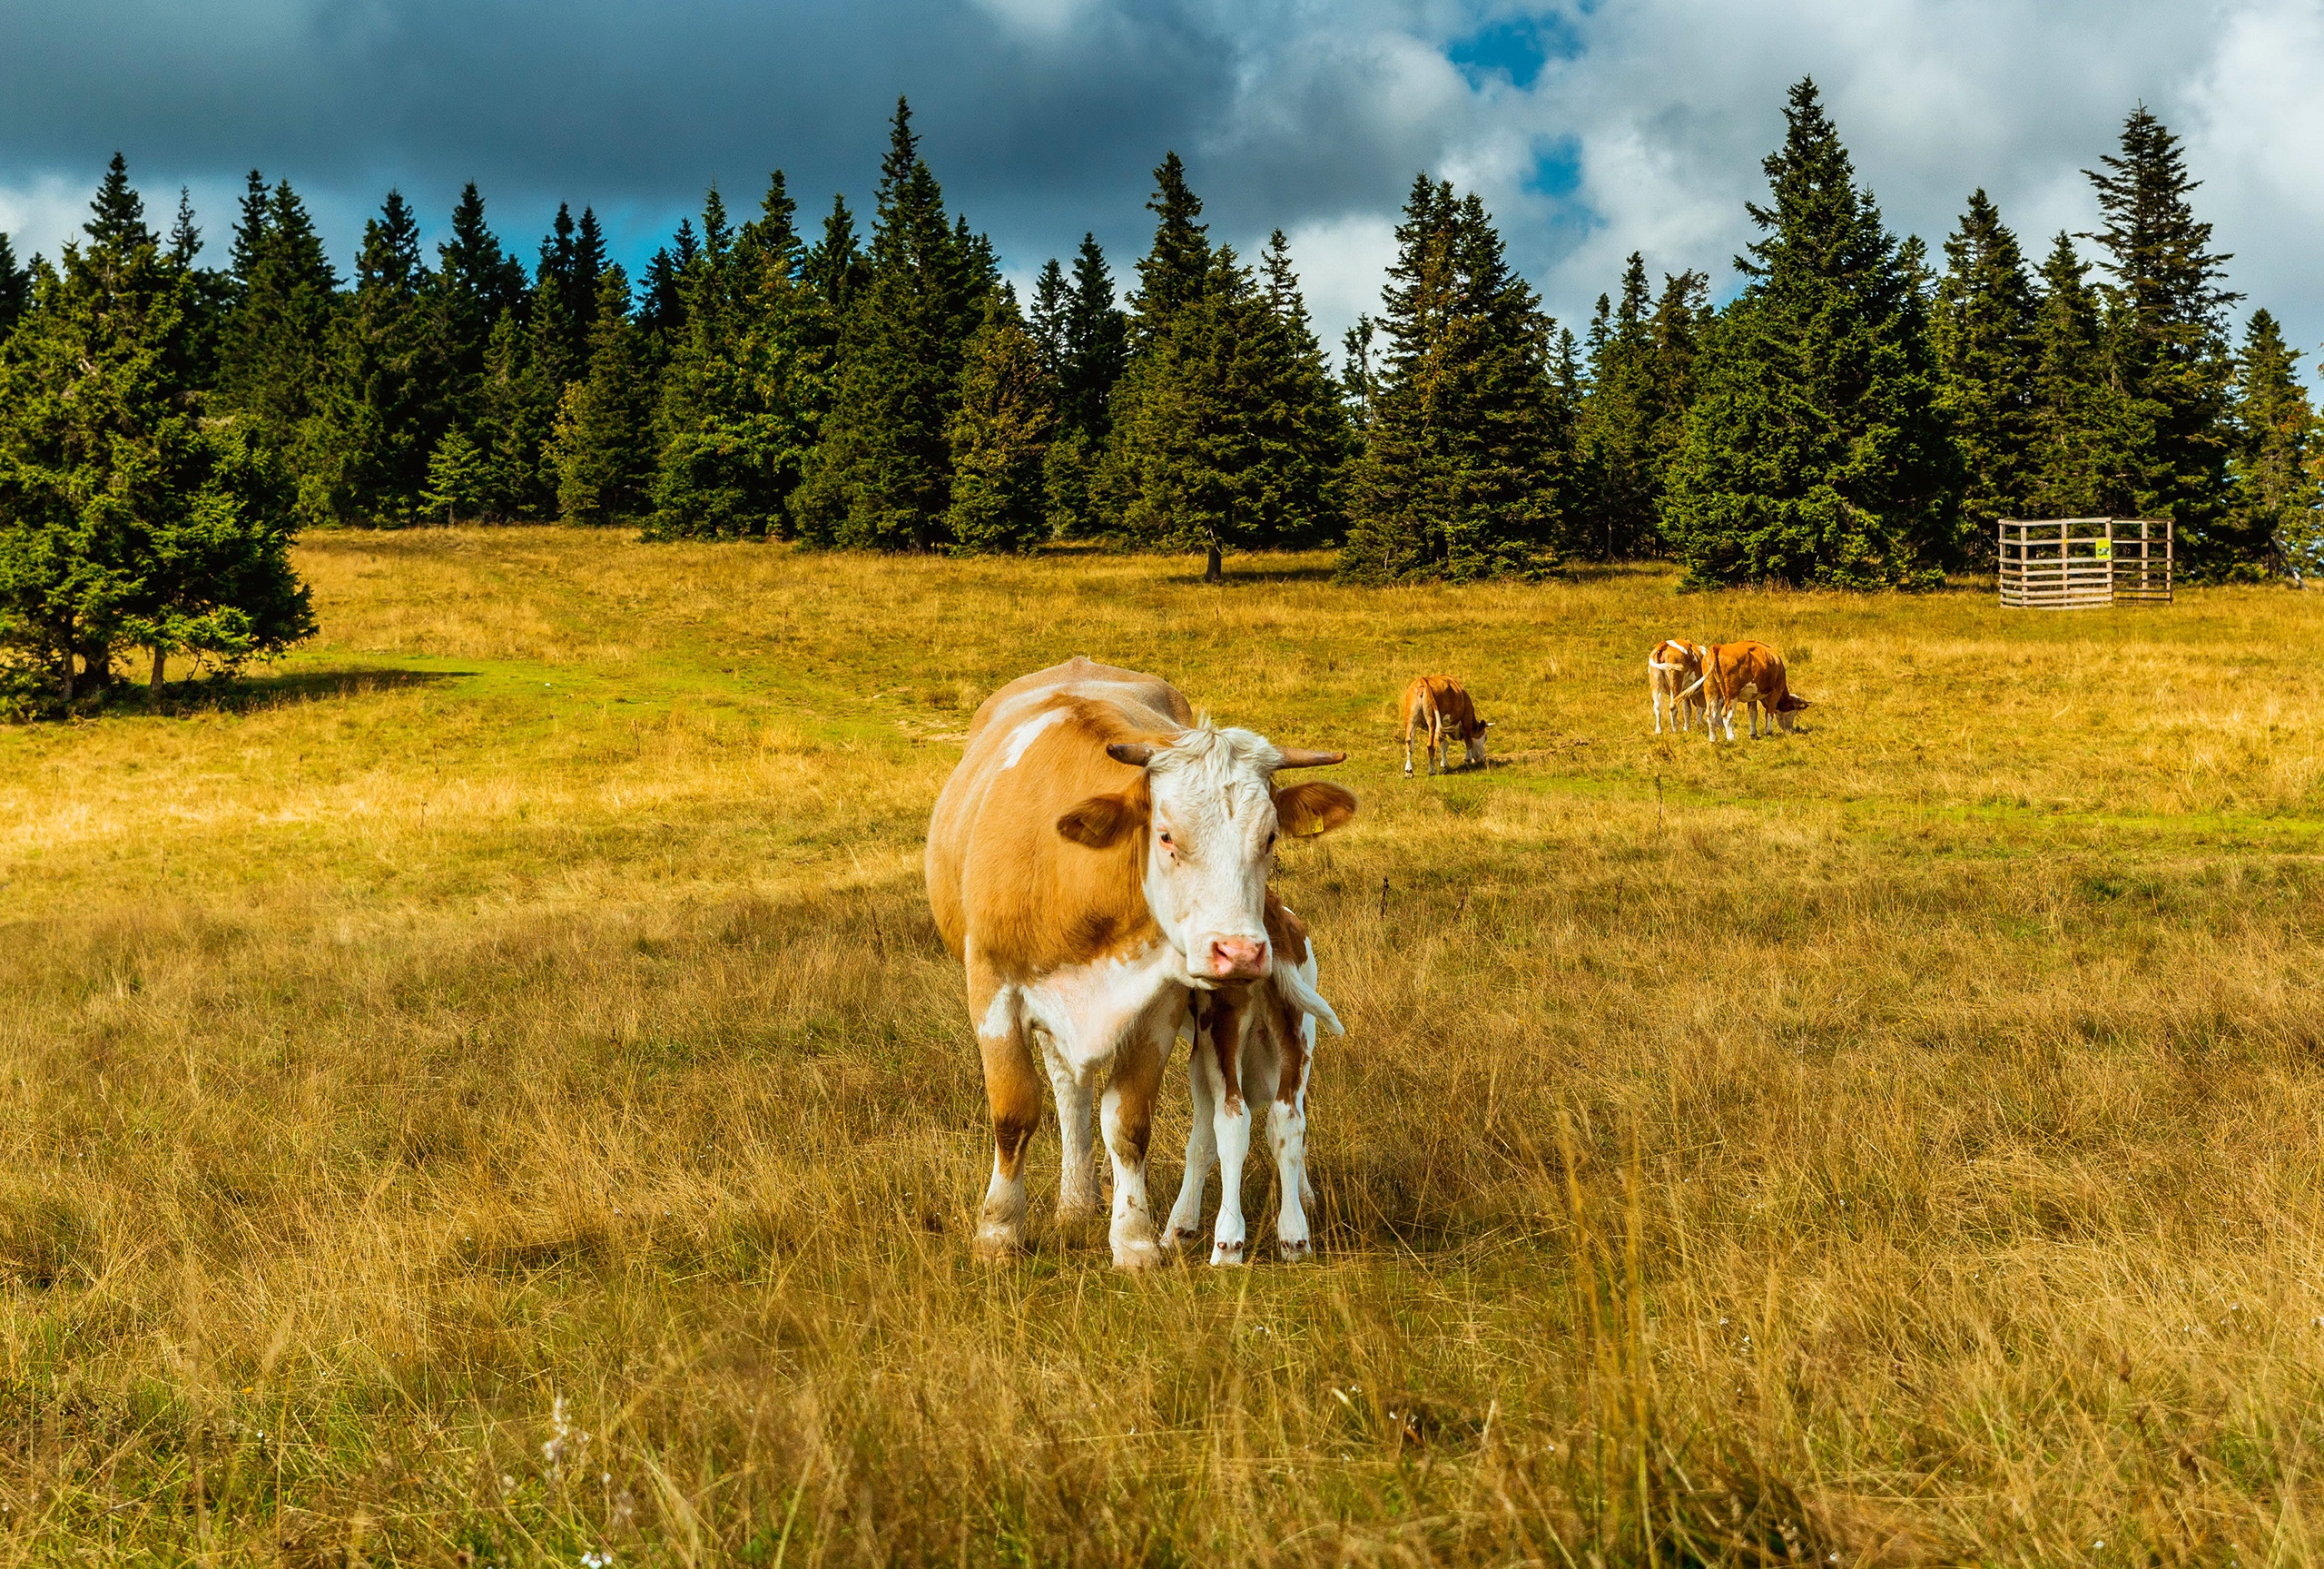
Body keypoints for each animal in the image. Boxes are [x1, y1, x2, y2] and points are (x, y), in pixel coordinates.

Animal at [1162, 887, 1347, 1273]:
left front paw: (1179, 1228)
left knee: (1233, 1121)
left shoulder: (1199, 1059)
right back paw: (1295, 1236)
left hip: (1220, 1031)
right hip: (1297, 1033)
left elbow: (1202, 1141)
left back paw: (1228, 1243)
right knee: (1287, 1119)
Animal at [1691, 636, 1812, 744]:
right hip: (1731, 694)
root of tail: (1718, 647)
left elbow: (1753, 714)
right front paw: (1768, 731)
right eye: (1794, 712)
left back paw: (1713, 739)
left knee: (1710, 714)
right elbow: (1769, 712)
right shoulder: (1776, 690)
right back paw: (1731, 738)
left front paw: (1753, 734)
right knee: (1726, 714)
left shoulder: (1752, 697)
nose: (1790, 730)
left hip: (1710, 691)